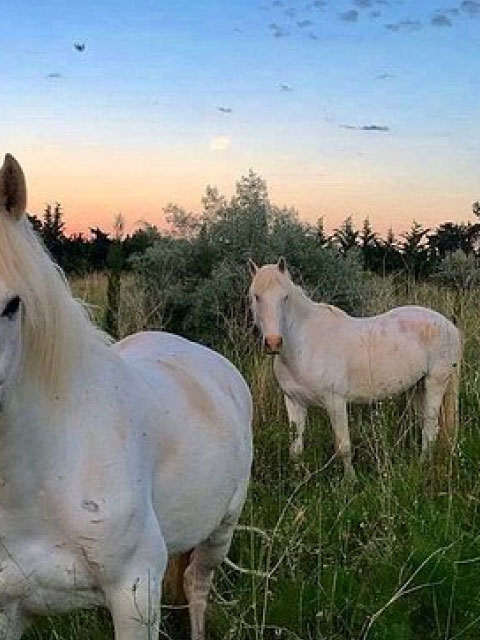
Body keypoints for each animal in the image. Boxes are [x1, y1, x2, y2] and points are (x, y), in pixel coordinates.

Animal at [248, 258, 462, 478]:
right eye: (256, 296)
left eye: (285, 297)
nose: (273, 342)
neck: (304, 345)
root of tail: (450, 325)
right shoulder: (294, 402)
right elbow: (296, 448)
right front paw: (298, 477)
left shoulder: (335, 401)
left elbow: (343, 446)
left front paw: (350, 481)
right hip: (418, 387)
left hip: (435, 382)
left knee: (430, 426)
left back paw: (423, 465)